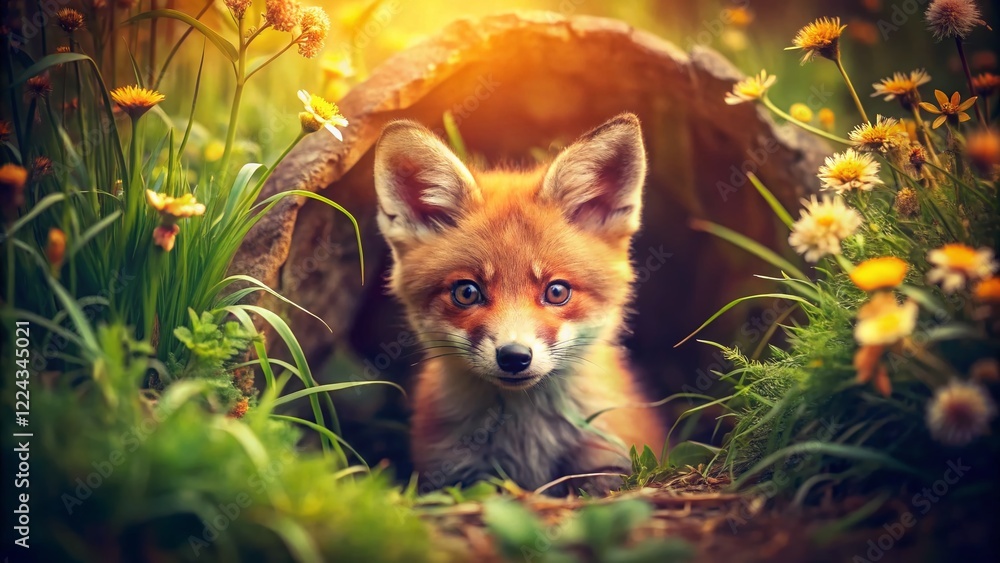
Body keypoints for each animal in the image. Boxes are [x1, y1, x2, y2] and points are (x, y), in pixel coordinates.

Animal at [373, 113, 666, 496]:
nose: (514, 357)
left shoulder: (608, 461)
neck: (527, 441)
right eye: (467, 293)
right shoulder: (453, 474)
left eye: (556, 292)